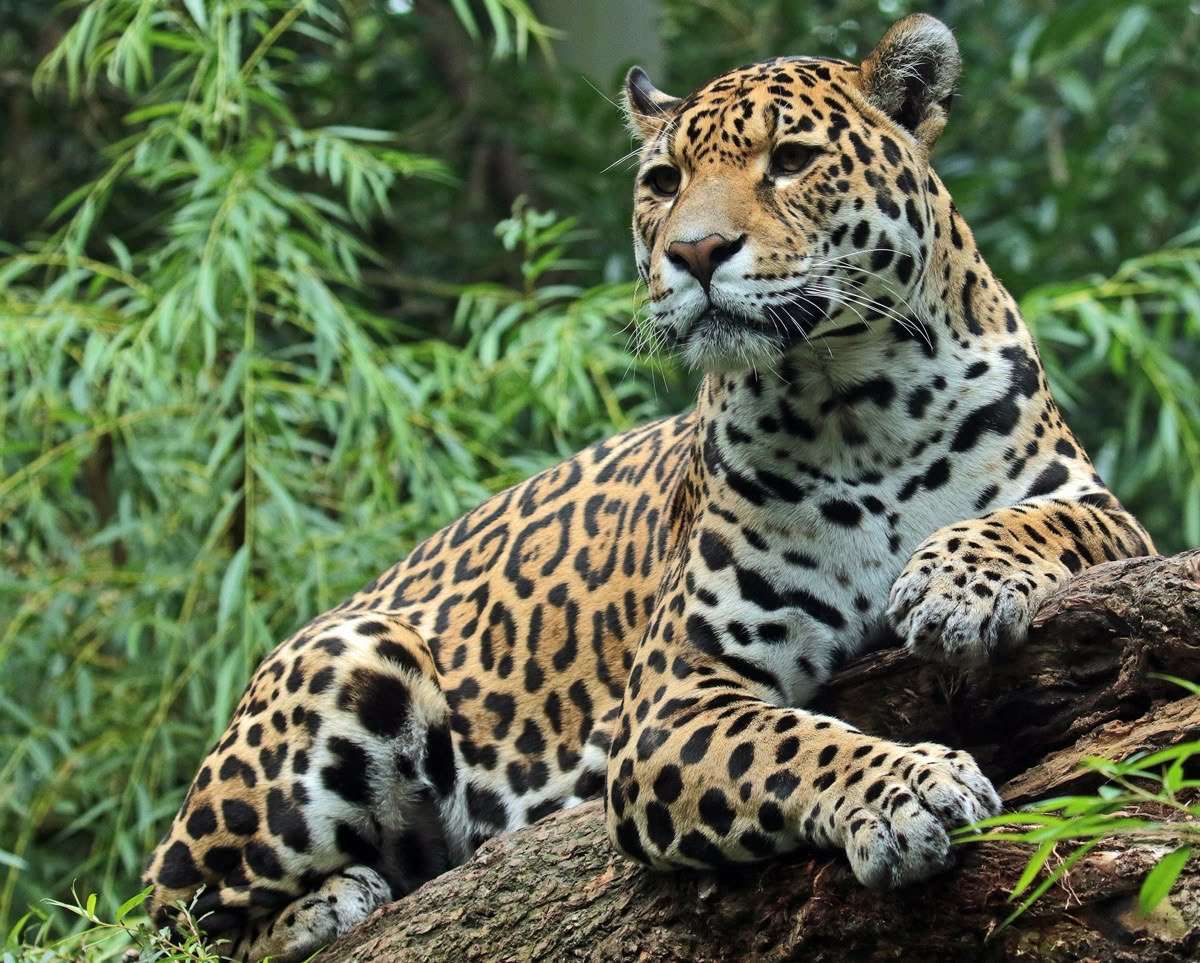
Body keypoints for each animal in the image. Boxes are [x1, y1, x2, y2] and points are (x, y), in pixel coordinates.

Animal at [142, 14, 1154, 961]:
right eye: (664, 181)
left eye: (791, 161)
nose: (697, 254)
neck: (859, 397)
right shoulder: (673, 700)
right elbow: (795, 742)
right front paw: (908, 788)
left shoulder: (1104, 511)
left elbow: (1035, 524)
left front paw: (954, 587)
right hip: (354, 652)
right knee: (174, 911)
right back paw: (328, 903)